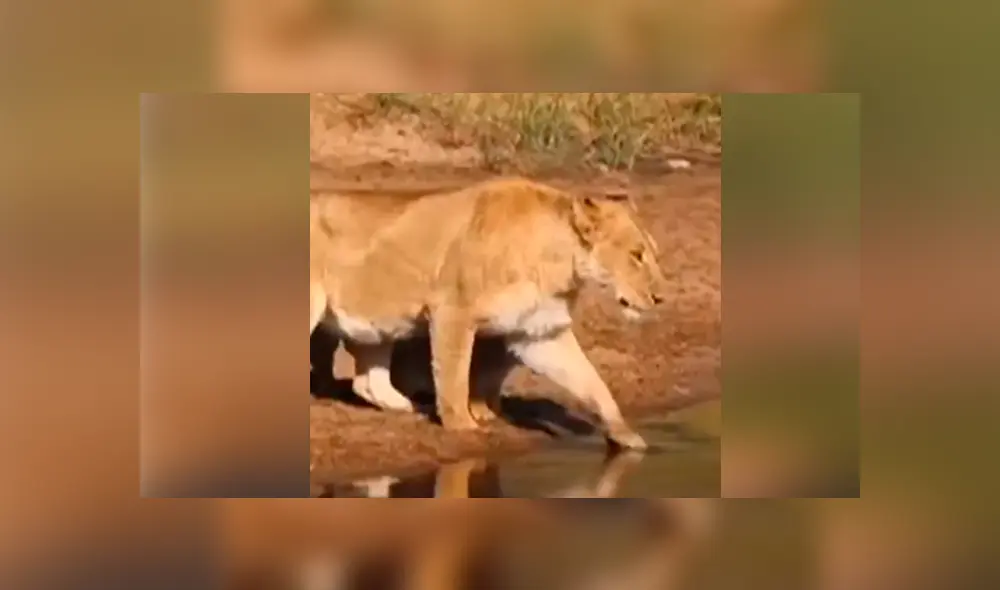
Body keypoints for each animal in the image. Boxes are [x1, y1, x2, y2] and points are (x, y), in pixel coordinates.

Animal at [310, 177, 669, 450]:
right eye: (636, 255)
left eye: (652, 254)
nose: (661, 297)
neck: (558, 263)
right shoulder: (452, 311)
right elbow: (454, 376)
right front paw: (463, 426)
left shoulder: (539, 332)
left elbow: (592, 382)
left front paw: (627, 436)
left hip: (379, 322)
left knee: (368, 383)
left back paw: (411, 405)